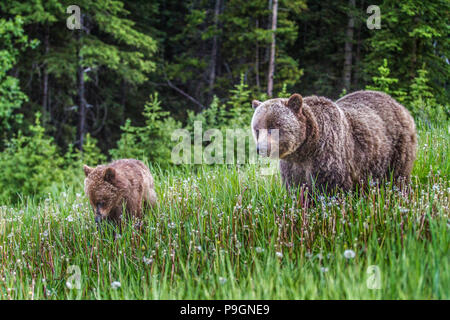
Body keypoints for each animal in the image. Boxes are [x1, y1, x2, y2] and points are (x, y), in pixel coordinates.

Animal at [251, 91, 416, 194]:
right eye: (257, 129)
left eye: (273, 127)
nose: (261, 149)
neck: (306, 148)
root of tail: (398, 104)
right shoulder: (293, 166)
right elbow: (297, 189)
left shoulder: (327, 156)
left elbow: (331, 188)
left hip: (397, 146)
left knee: (397, 176)